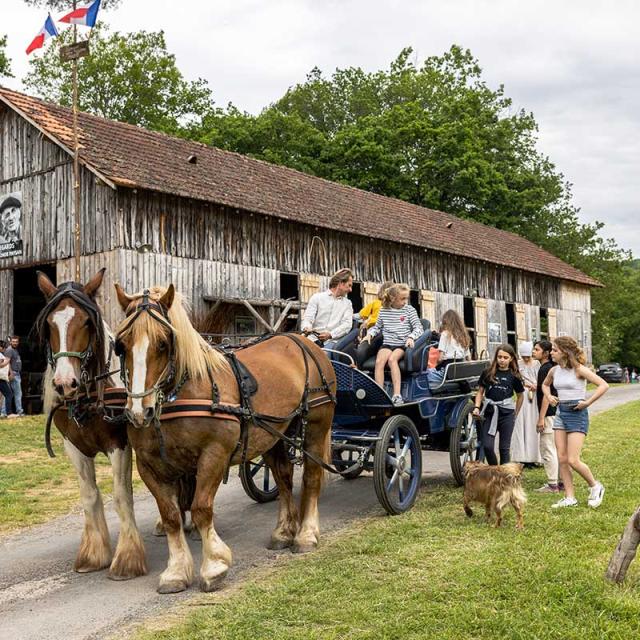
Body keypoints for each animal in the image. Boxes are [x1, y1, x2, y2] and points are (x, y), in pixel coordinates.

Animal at [35, 270, 146, 580]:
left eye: (86, 321)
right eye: (49, 324)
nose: (64, 383)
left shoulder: (118, 444)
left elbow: (121, 496)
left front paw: (127, 558)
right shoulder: (74, 447)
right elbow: (89, 496)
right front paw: (93, 554)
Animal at [114, 284, 336, 596]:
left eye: (163, 343)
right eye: (121, 345)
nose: (138, 411)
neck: (183, 394)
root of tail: (304, 341)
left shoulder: (213, 456)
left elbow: (201, 509)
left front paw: (214, 567)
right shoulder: (149, 466)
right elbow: (171, 517)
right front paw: (176, 572)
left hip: (316, 427)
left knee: (312, 478)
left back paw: (306, 535)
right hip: (273, 435)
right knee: (283, 479)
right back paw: (283, 532)